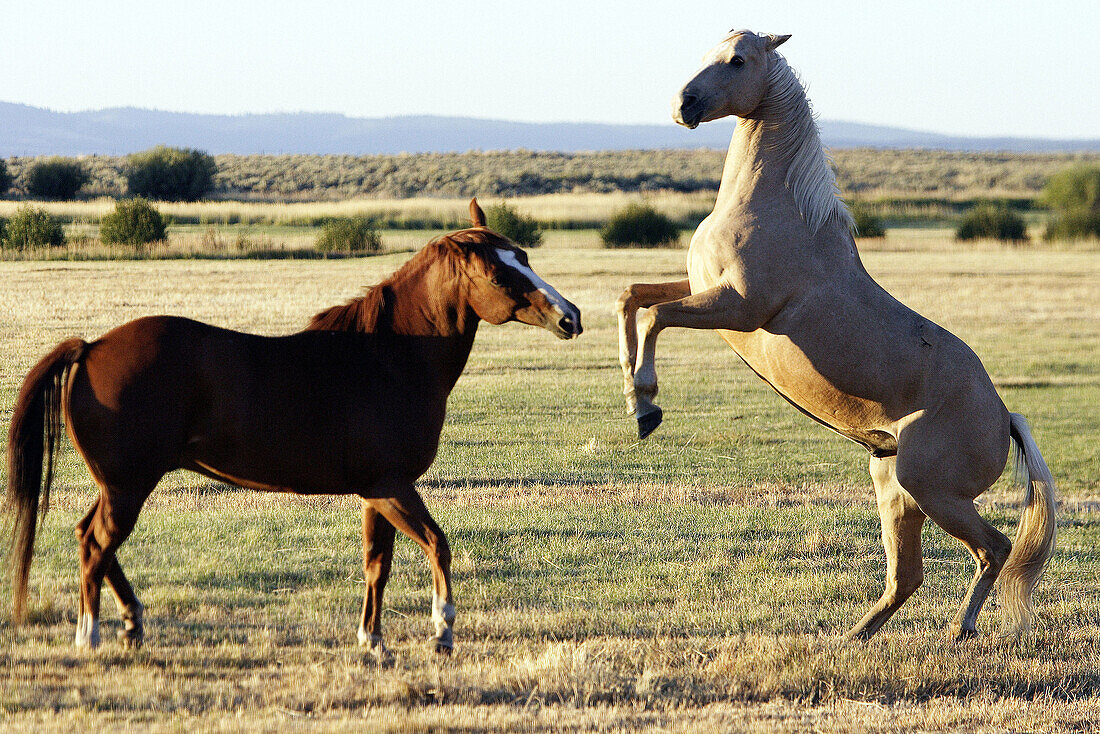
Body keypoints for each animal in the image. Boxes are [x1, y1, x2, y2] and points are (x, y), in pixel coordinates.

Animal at [8, 199, 585, 655]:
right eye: (499, 275)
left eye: (525, 258)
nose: (571, 318)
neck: (388, 358)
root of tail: (90, 348)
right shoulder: (394, 487)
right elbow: (437, 545)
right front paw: (441, 631)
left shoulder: (378, 491)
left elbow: (377, 564)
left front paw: (373, 642)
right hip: (128, 485)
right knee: (96, 546)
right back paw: (90, 636)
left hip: (120, 484)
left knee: (93, 540)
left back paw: (132, 623)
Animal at [620, 30, 1056, 638]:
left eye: (738, 60)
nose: (683, 105)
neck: (778, 210)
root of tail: (1004, 417)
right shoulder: (705, 290)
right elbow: (633, 297)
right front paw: (632, 398)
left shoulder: (739, 308)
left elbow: (656, 316)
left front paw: (647, 406)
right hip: (896, 489)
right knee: (908, 575)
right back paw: (854, 637)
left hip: (931, 490)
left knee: (994, 548)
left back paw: (960, 630)